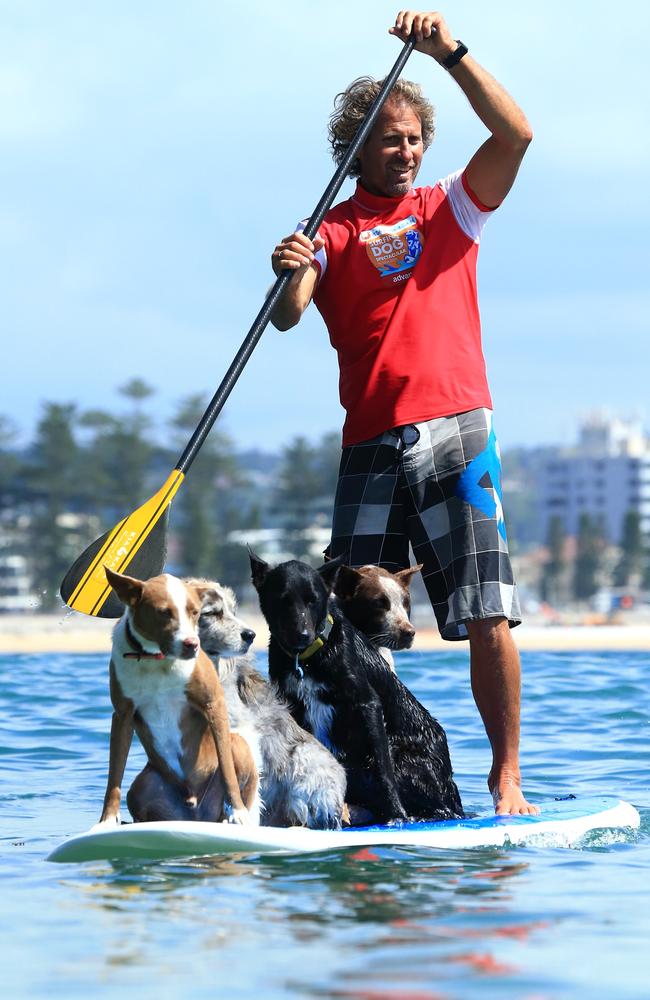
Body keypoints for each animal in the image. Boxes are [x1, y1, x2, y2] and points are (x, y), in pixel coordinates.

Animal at [97, 572, 256, 828]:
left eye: (195, 612)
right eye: (164, 612)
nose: (192, 644)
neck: (157, 659)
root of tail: (196, 812)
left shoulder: (214, 704)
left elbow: (226, 768)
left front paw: (238, 813)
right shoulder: (122, 714)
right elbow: (114, 776)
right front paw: (107, 820)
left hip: (239, 747)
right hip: (143, 786)